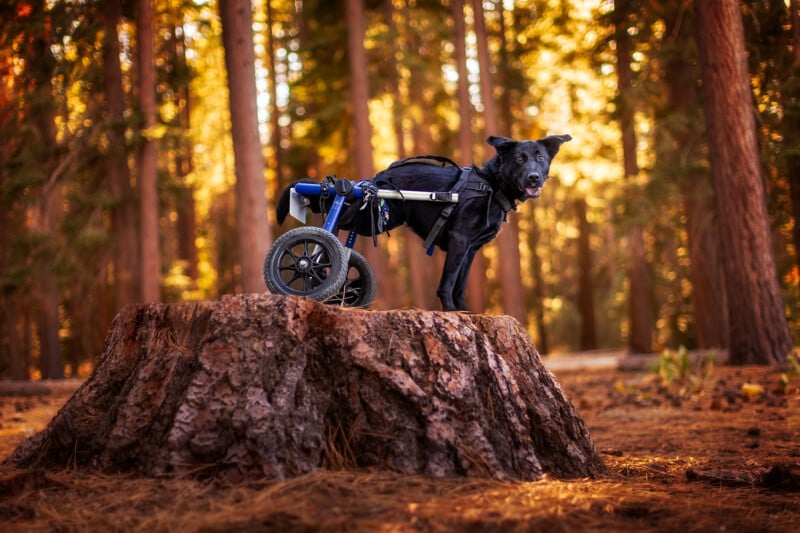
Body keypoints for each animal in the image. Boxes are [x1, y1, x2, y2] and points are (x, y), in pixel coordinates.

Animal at [278, 134, 572, 312]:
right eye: (519, 158)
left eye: (541, 158)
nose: (534, 177)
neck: (491, 185)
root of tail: (372, 180)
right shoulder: (459, 241)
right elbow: (448, 283)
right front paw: (451, 312)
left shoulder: (470, 249)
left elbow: (461, 284)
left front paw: (465, 311)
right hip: (368, 210)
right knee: (326, 224)